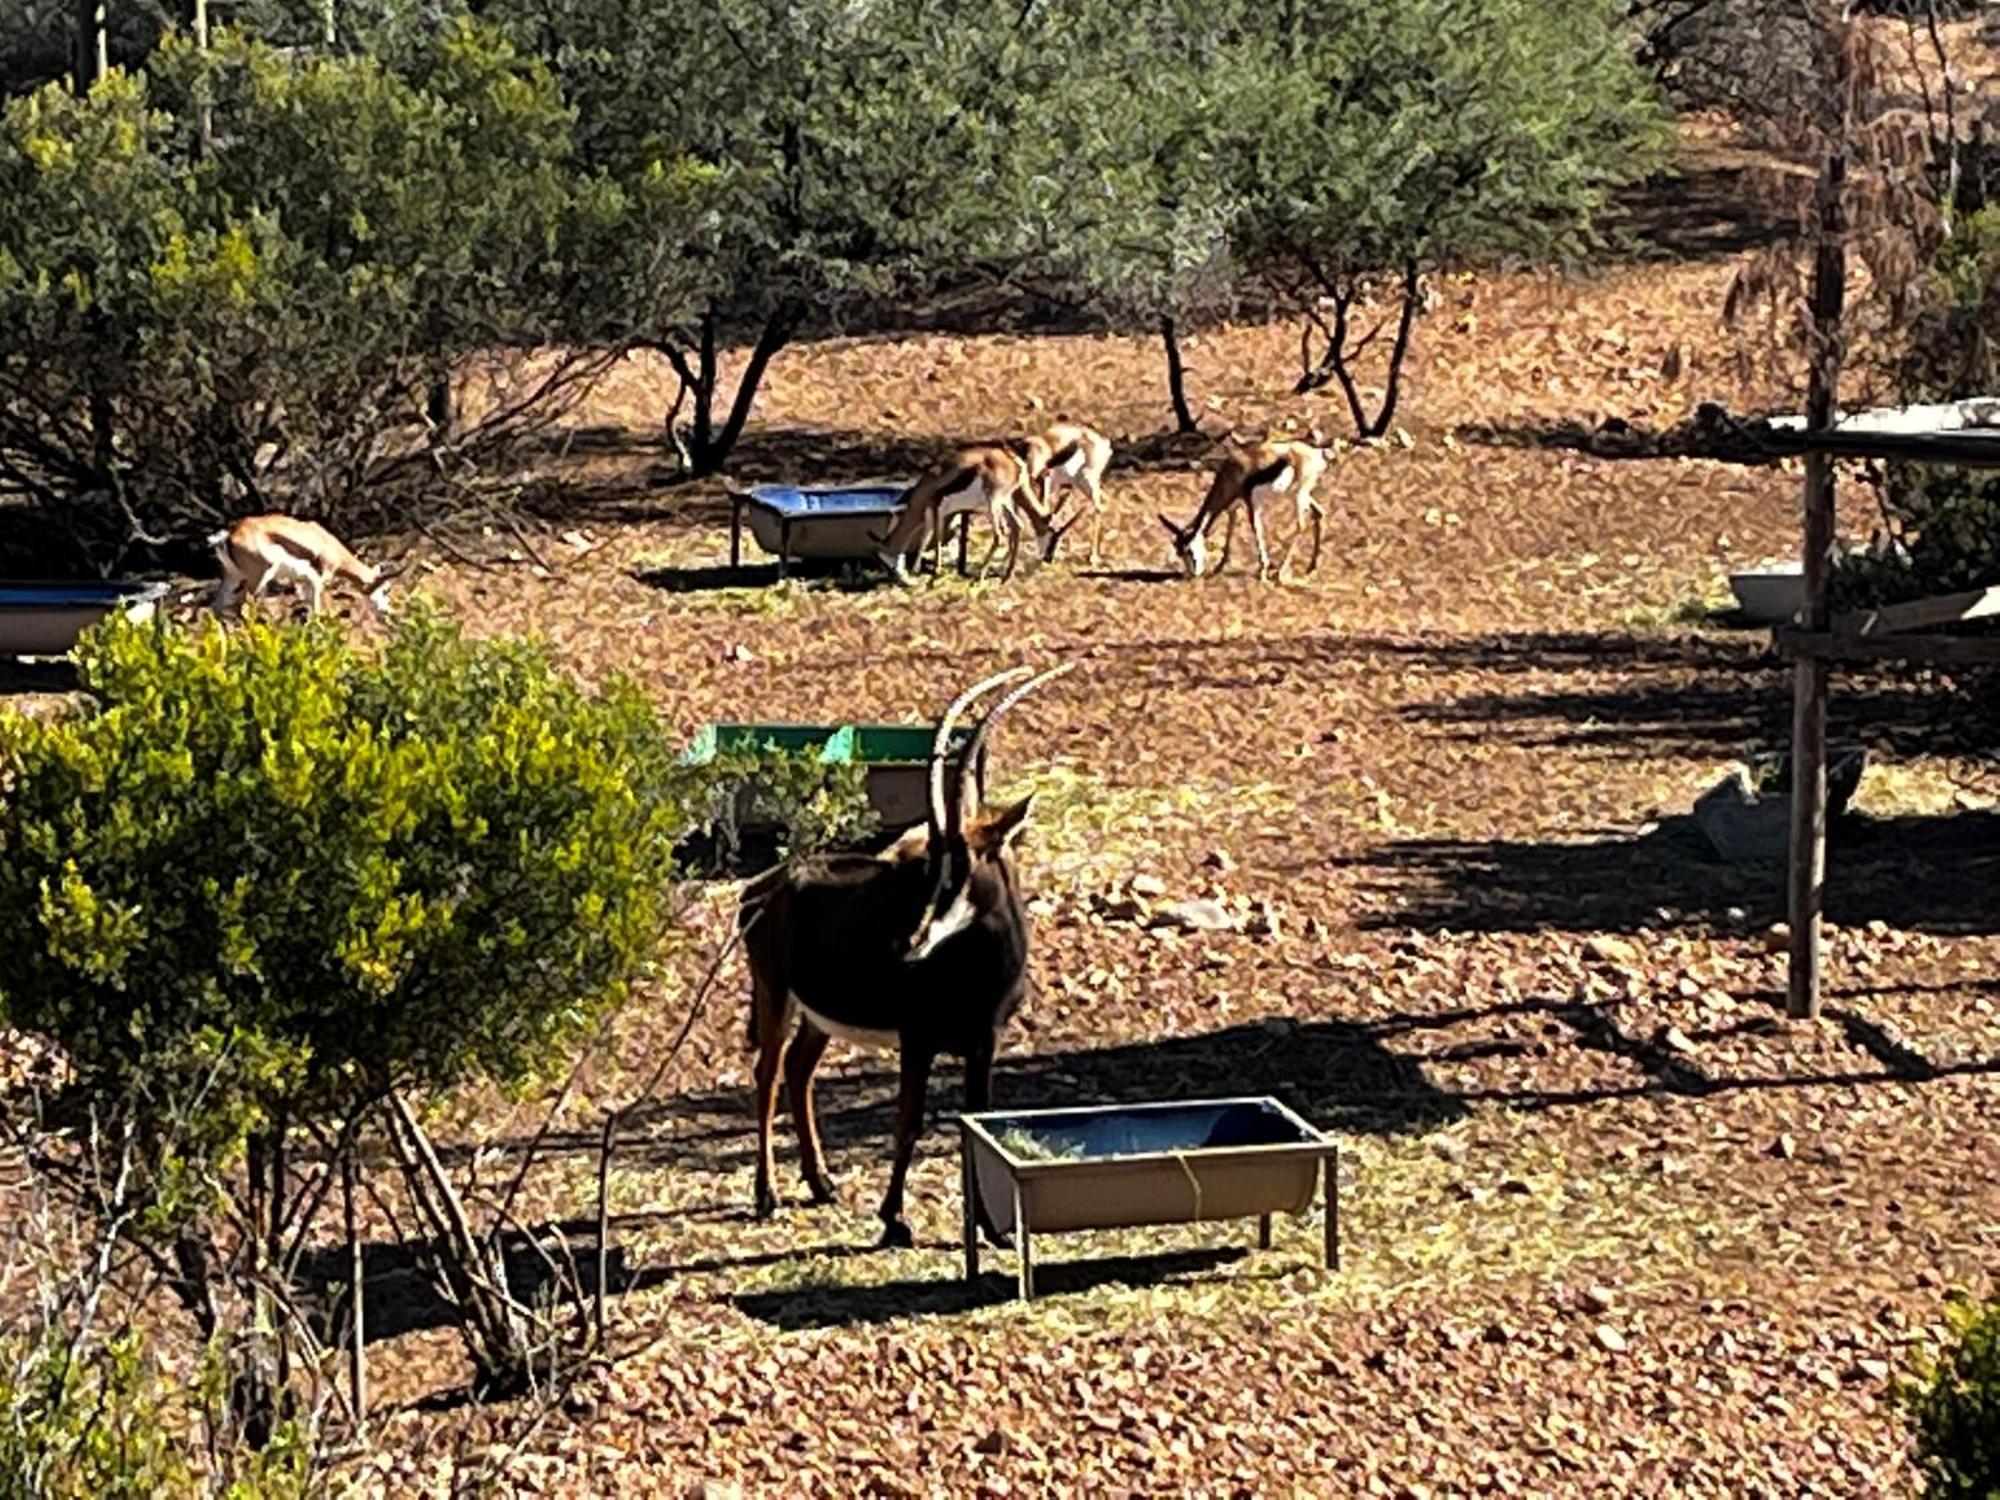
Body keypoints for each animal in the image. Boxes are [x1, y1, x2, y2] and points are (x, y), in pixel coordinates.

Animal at [212, 512, 398, 616]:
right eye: (384, 589)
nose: (387, 611)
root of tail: (230, 535)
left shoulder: (303, 582)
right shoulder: (320, 578)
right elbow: (316, 612)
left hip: (233, 578)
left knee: (217, 608)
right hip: (258, 581)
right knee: (242, 608)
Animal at [740, 664, 1080, 1248]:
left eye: (961, 868)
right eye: (926, 864)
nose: (911, 944)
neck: (979, 970)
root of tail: (763, 887)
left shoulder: (985, 1041)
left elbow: (977, 1121)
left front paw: (990, 1229)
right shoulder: (918, 1039)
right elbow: (909, 1121)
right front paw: (894, 1219)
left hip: (818, 1015)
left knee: (800, 1071)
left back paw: (821, 1182)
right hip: (774, 993)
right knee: (768, 1072)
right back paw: (768, 1195)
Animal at [872, 446, 1064, 580]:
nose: (1049, 558)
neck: (925, 489)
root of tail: (1015, 464)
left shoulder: (937, 509)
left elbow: (936, 537)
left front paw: (935, 569)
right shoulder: (931, 514)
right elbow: (926, 537)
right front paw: (917, 568)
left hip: (994, 503)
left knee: (1000, 534)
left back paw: (981, 574)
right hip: (1002, 502)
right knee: (1017, 525)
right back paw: (1007, 574)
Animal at [1024, 426, 1120, 568]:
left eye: (1054, 538)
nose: (1048, 558)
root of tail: (1103, 441)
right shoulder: (1063, 486)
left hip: (1087, 480)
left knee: (1099, 506)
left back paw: (1093, 557)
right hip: (1080, 483)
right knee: (1104, 502)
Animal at [1160, 438, 1328, 584]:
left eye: (1189, 551)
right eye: (1179, 552)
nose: (1193, 574)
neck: (1231, 472)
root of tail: (1317, 452)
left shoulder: (1250, 502)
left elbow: (1256, 529)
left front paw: (1262, 571)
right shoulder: (1233, 505)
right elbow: (1231, 527)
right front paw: (1219, 567)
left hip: (1299, 495)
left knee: (1302, 526)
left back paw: (1280, 573)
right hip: (1300, 494)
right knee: (1319, 513)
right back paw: (1311, 568)